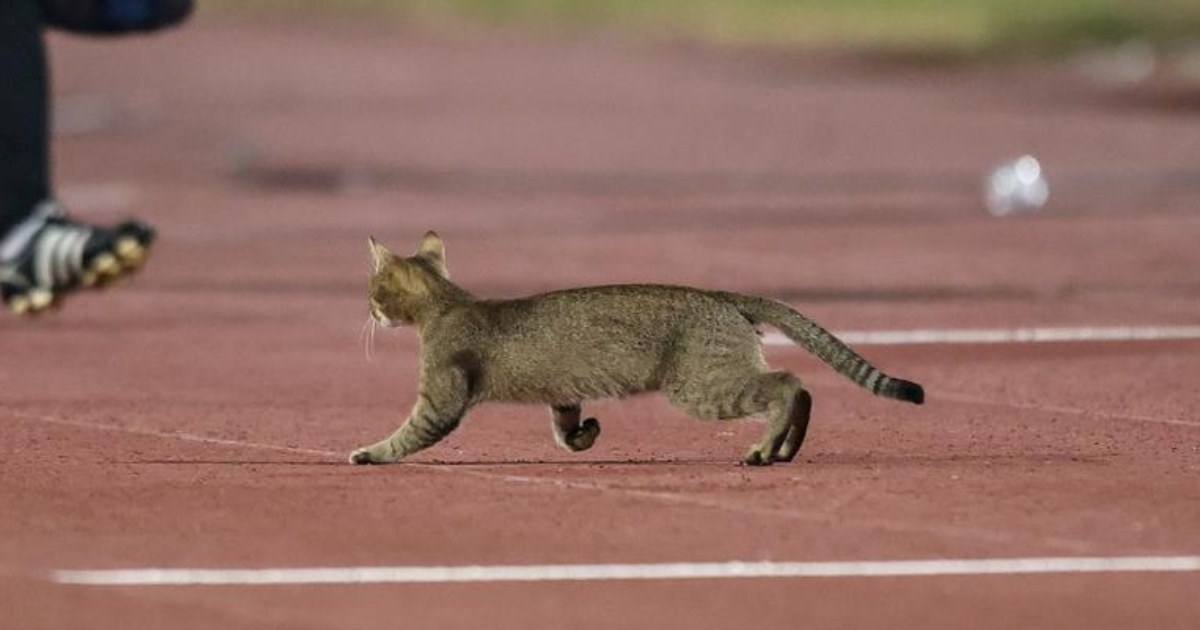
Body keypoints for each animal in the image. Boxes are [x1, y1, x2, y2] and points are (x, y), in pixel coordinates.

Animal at [350, 228, 921, 463]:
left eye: (373, 289)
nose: (369, 311)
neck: (446, 304)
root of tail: (718, 295)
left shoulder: (441, 398)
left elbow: (407, 434)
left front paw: (368, 453)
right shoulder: (563, 394)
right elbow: (565, 429)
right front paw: (586, 435)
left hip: (702, 386)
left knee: (789, 383)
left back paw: (764, 451)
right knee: (800, 388)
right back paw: (784, 449)